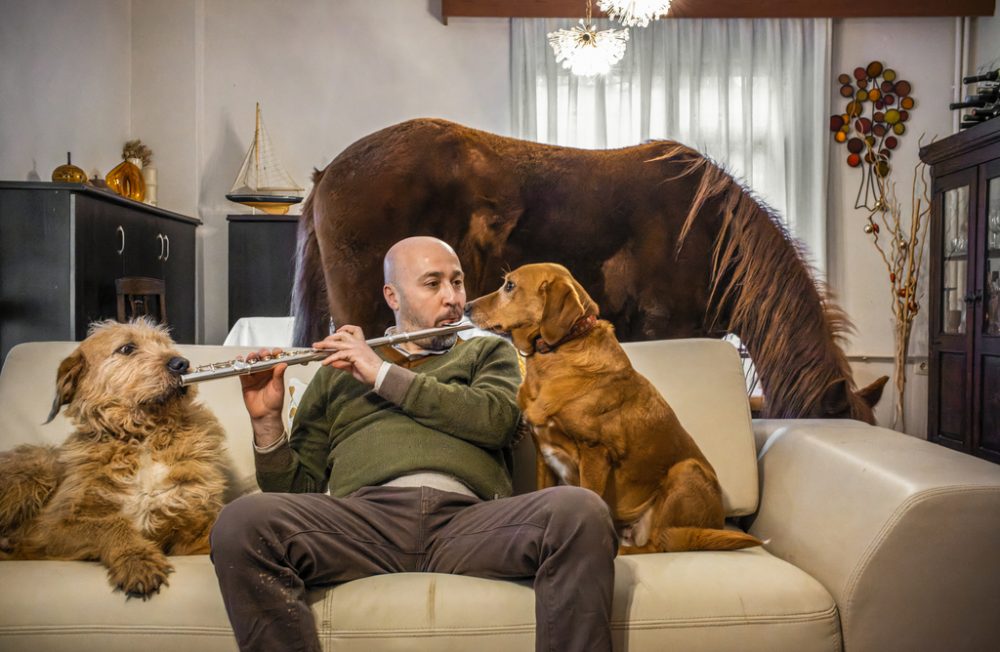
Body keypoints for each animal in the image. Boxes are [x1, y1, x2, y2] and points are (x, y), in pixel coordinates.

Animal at [0, 318, 230, 600]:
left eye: (164, 344)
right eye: (127, 348)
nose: (181, 363)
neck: (143, 437)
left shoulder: (194, 530)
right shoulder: (50, 527)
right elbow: (110, 523)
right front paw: (138, 560)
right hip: (36, 471)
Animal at [466, 262, 756, 552]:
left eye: (509, 286)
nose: (467, 306)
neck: (557, 352)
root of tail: (715, 524)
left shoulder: (595, 452)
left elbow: (588, 496)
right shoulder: (544, 454)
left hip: (686, 471)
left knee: (656, 545)